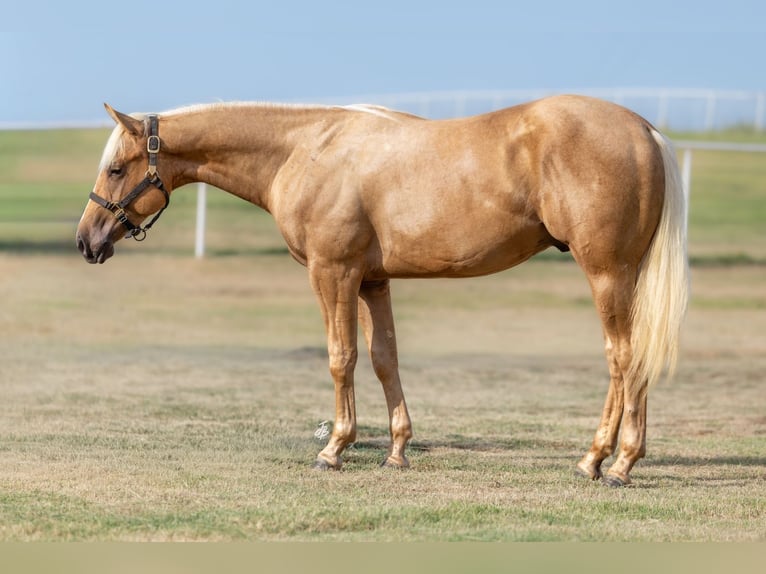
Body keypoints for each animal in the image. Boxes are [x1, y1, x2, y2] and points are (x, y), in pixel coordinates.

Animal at [76, 95, 688, 486]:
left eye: (116, 168)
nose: (86, 240)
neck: (305, 151)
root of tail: (644, 129)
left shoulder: (333, 274)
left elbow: (341, 357)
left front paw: (334, 449)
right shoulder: (372, 281)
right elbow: (383, 358)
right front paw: (396, 452)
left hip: (607, 273)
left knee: (623, 357)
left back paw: (608, 463)